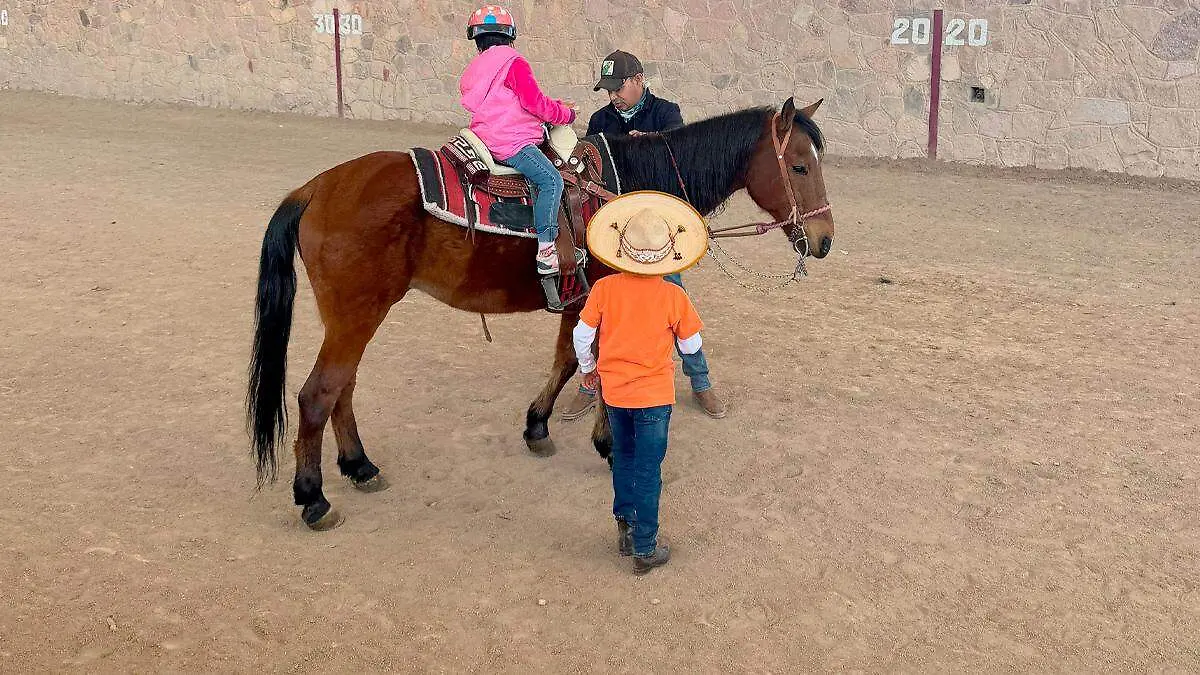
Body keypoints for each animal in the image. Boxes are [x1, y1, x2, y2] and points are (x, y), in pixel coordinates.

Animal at [246, 96, 835, 526]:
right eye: (800, 165)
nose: (826, 239)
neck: (628, 194)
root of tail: (315, 188)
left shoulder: (579, 302)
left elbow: (568, 362)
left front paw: (537, 427)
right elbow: (597, 369)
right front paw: (610, 447)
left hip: (354, 317)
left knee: (341, 389)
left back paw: (359, 466)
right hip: (357, 315)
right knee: (318, 394)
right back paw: (313, 497)